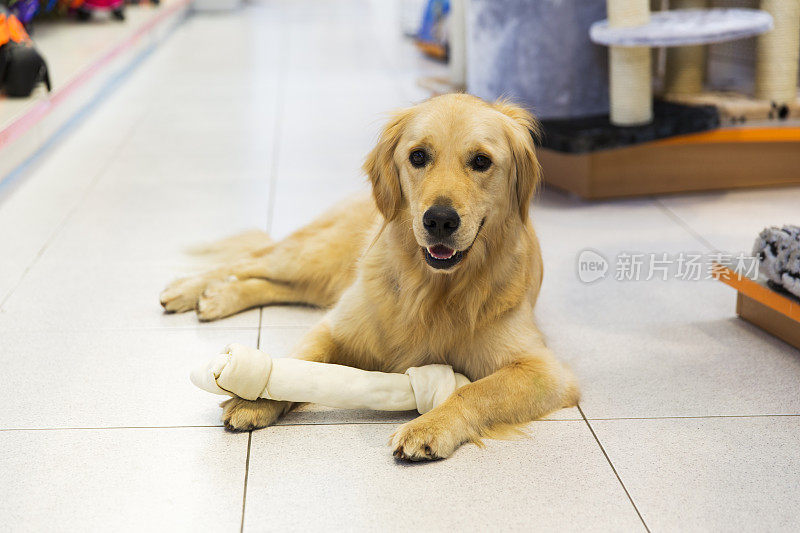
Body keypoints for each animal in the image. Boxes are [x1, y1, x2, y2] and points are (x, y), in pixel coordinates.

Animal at [161, 93, 576, 460]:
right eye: (418, 156)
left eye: (481, 161)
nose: (440, 220)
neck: (432, 290)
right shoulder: (337, 327)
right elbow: (302, 362)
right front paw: (256, 399)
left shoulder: (544, 371)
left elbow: (473, 392)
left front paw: (429, 427)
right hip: (314, 257)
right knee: (248, 260)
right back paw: (188, 290)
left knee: (268, 283)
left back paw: (216, 298)